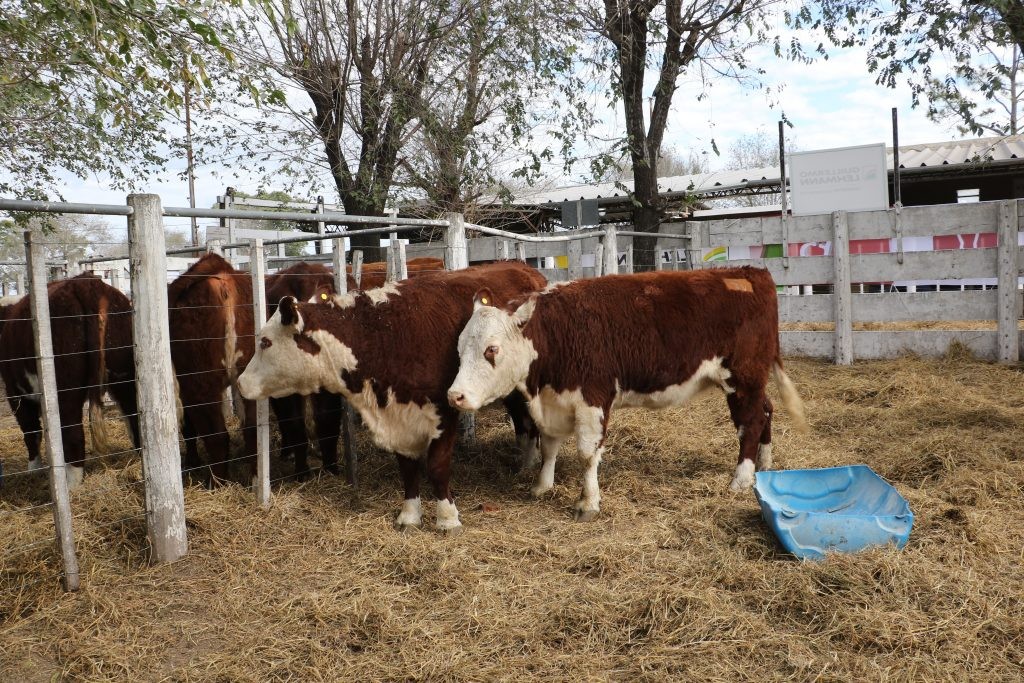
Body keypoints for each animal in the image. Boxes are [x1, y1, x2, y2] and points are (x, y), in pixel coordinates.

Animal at [0, 274, 139, 489]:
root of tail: (86, 284)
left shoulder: (15, 391)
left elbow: (31, 431)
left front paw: (34, 470)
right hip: (125, 375)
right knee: (135, 415)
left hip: (66, 389)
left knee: (73, 434)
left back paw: (70, 485)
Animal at [236, 262, 548, 532]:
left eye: (265, 342)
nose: (240, 383)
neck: (387, 334)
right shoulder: (398, 416)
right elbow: (407, 468)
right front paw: (409, 515)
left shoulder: (445, 409)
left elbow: (437, 466)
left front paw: (447, 518)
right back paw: (526, 459)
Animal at [448, 264, 806, 520]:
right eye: (460, 348)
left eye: (491, 349)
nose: (455, 395)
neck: (554, 333)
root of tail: (750, 272)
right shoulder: (553, 402)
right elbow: (549, 447)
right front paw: (541, 485)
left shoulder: (592, 399)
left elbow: (586, 453)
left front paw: (588, 503)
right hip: (752, 381)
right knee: (765, 411)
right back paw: (764, 463)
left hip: (743, 378)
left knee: (750, 424)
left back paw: (741, 478)